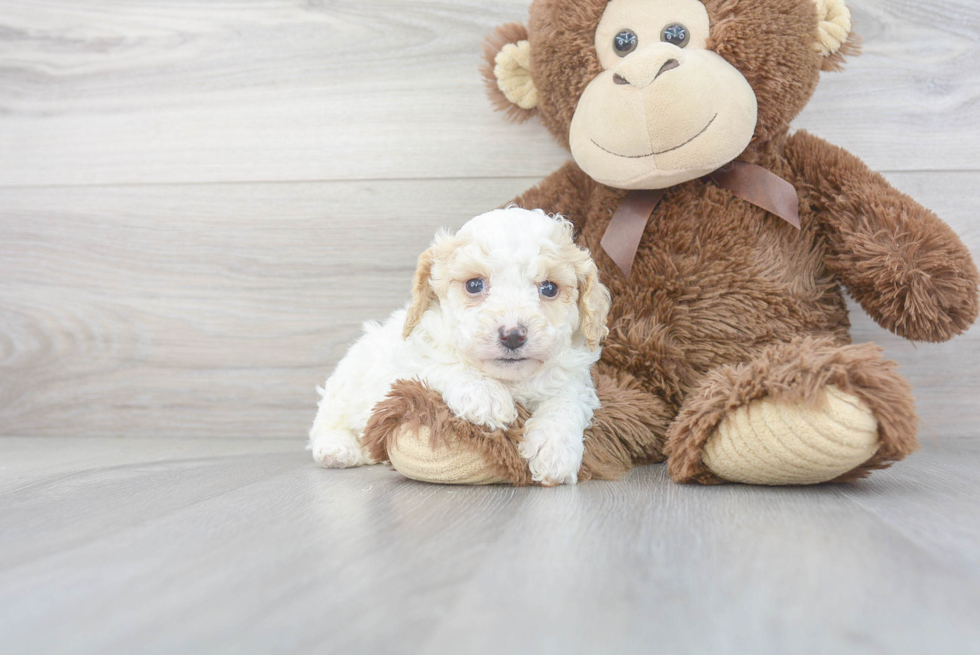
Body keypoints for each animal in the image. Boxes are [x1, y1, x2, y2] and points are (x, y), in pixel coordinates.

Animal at [310, 208, 608, 484]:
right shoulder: (408, 362)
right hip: (345, 385)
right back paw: (336, 448)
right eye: (474, 284)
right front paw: (486, 396)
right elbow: (443, 364)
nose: (513, 335)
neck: (509, 380)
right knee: (326, 422)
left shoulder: (573, 377)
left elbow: (565, 401)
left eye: (549, 288)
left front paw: (554, 451)